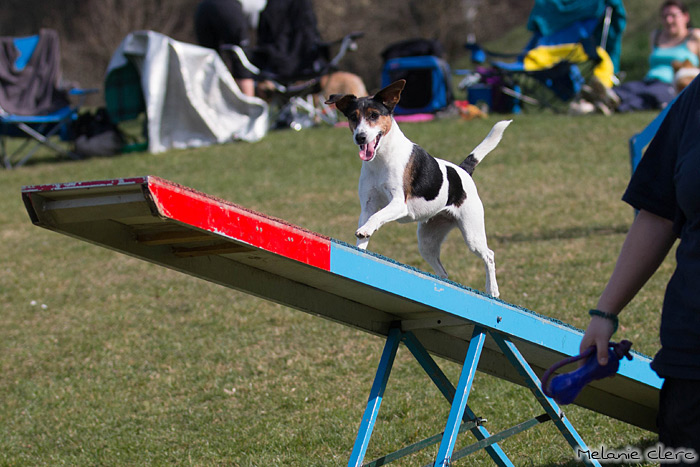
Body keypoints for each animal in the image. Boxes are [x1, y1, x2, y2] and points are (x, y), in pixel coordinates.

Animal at [325, 79, 510, 297]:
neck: (380, 158)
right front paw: (360, 249)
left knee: (489, 255)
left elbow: (377, 217)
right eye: (353, 117)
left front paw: (366, 230)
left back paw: (493, 290)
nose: (360, 137)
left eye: (374, 115)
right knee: (443, 272)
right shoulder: (367, 205)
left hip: (472, 232)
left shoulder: (399, 203)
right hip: (427, 242)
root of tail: (463, 170)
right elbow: (365, 230)